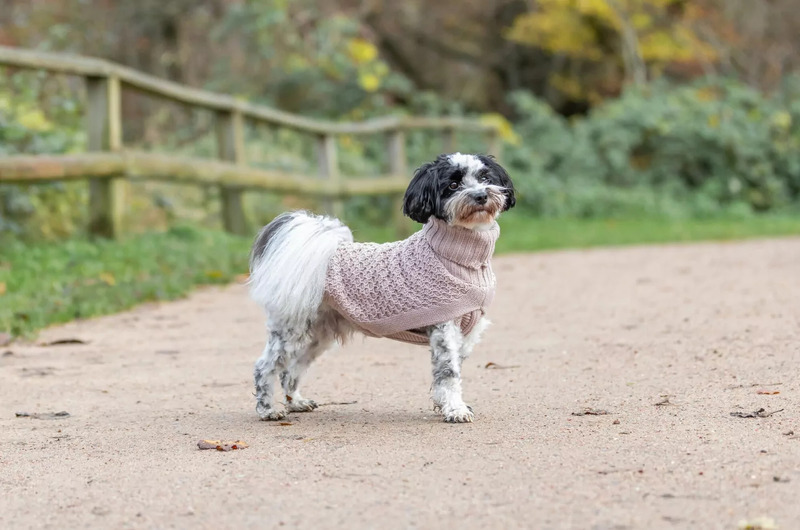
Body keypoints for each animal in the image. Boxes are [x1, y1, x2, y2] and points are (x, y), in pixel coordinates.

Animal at [248, 153, 515, 423]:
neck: (458, 257)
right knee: (264, 367)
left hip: (317, 336)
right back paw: (268, 409)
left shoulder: (466, 333)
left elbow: (449, 374)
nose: (480, 195)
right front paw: (455, 409)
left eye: (485, 178)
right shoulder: (445, 329)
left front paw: (446, 404)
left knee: (290, 370)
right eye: (453, 185)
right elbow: (449, 373)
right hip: (291, 331)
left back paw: (296, 402)